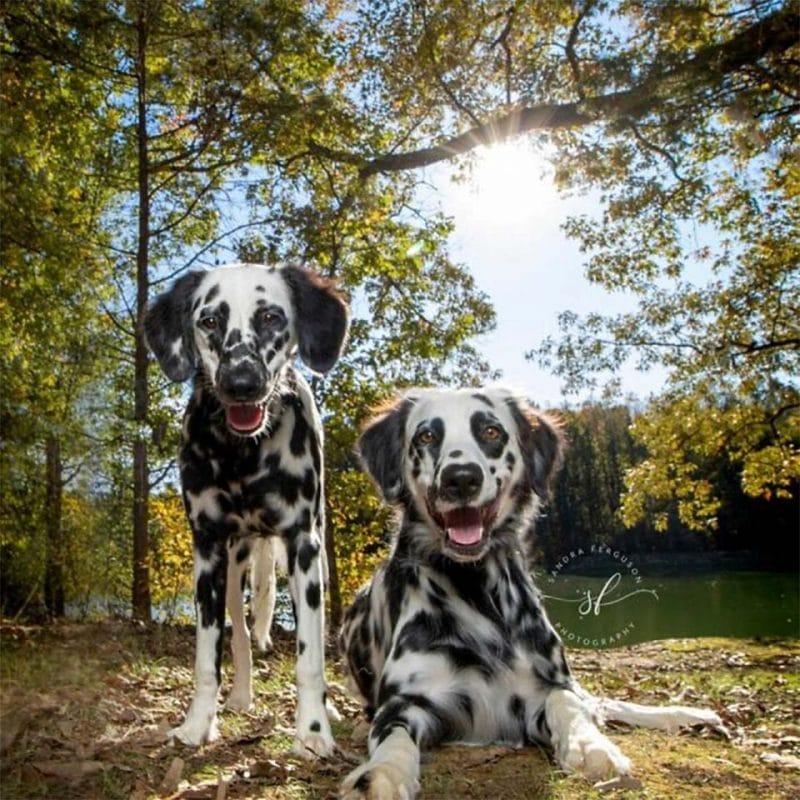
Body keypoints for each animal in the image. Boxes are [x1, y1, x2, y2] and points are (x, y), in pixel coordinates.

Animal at [145, 262, 348, 756]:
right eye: (209, 321)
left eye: (272, 317)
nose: (240, 384)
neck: (243, 455)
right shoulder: (207, 551)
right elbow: (207, 656)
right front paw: (197, 725)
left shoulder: (304, 547)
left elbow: (310, 658)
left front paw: (313, 730)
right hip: (235, 570)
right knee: (239, 635)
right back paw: (240, 695)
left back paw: (329, 708)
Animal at [340, 386, 724, 792]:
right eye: (427, 436)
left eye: (491, 432)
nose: (461, 478)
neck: (476, 590)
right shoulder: (407, 701)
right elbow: (393, 738)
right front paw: (381, 774)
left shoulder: (543, 686)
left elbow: (567, 703)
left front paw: (590, 746)